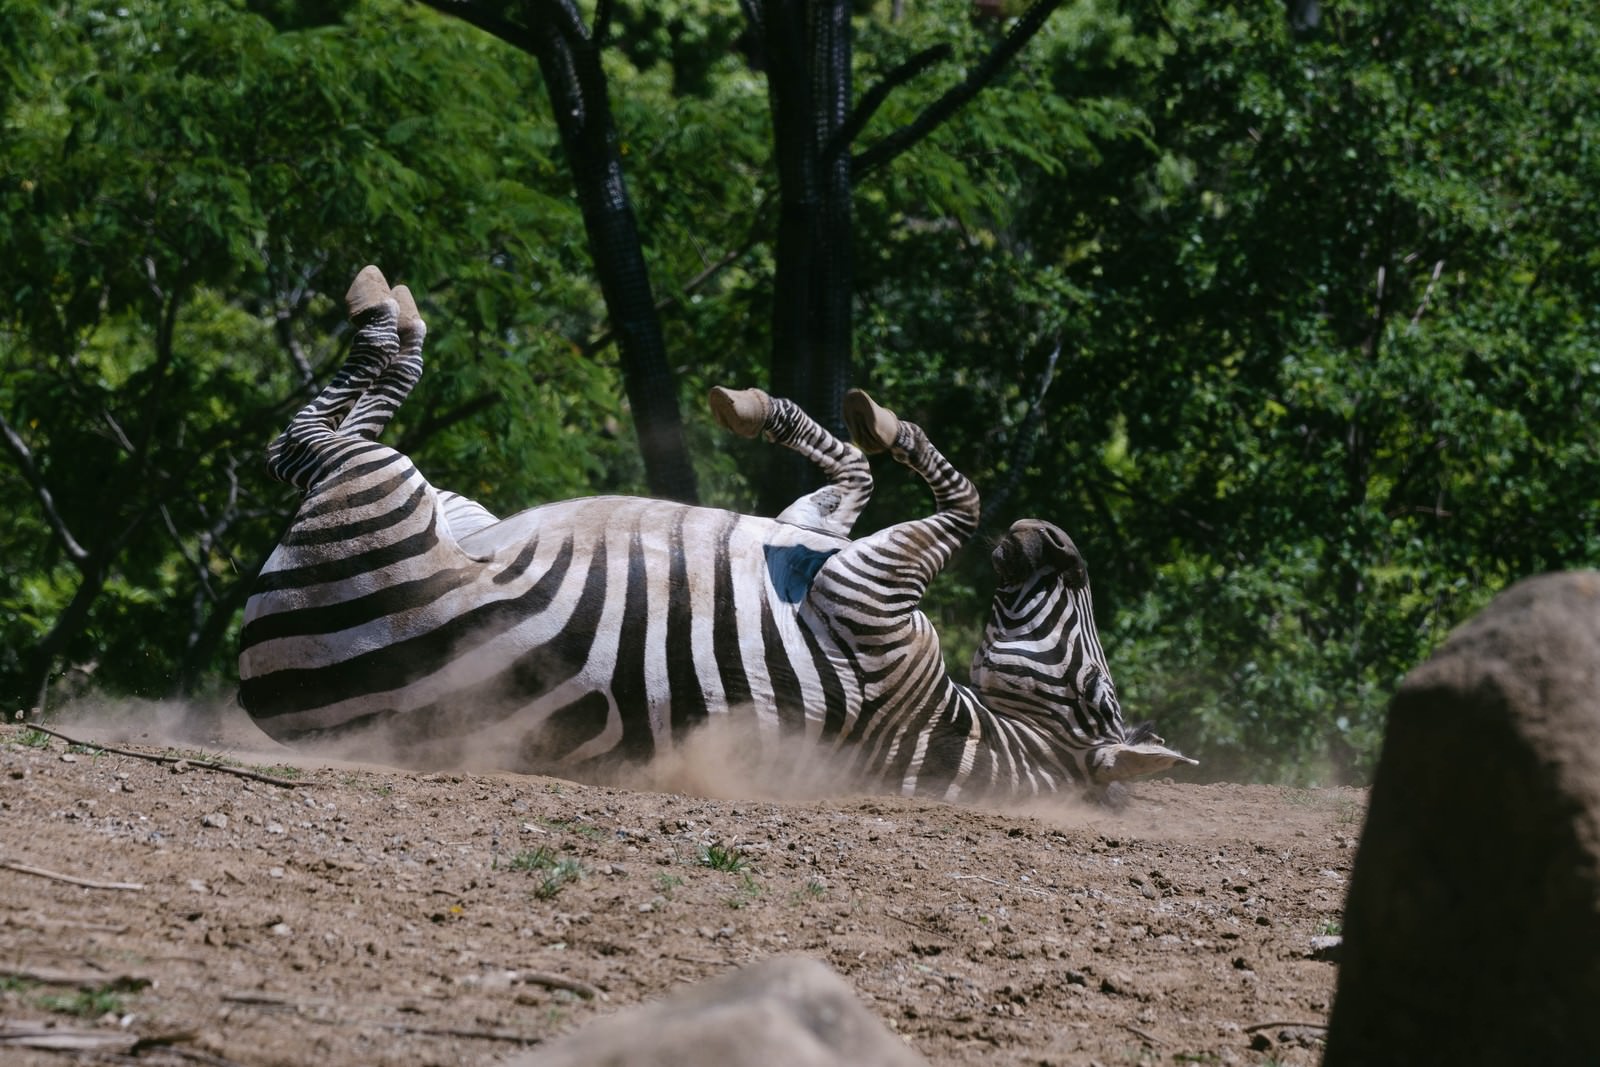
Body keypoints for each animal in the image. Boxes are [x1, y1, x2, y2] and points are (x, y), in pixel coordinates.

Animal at [233, 265, 1190, 799]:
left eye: (1095, 696)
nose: (1053, 537)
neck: (947, 724)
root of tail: (265, 694)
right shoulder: (824, 543)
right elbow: (854, 474)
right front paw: (769, 410)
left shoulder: (867, 594)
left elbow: (959, 498)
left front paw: (880, 422)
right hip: (451, 507)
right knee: (318, 434)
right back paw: (396, 310)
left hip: (377, 488)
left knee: (308, 441)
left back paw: (384, 312)